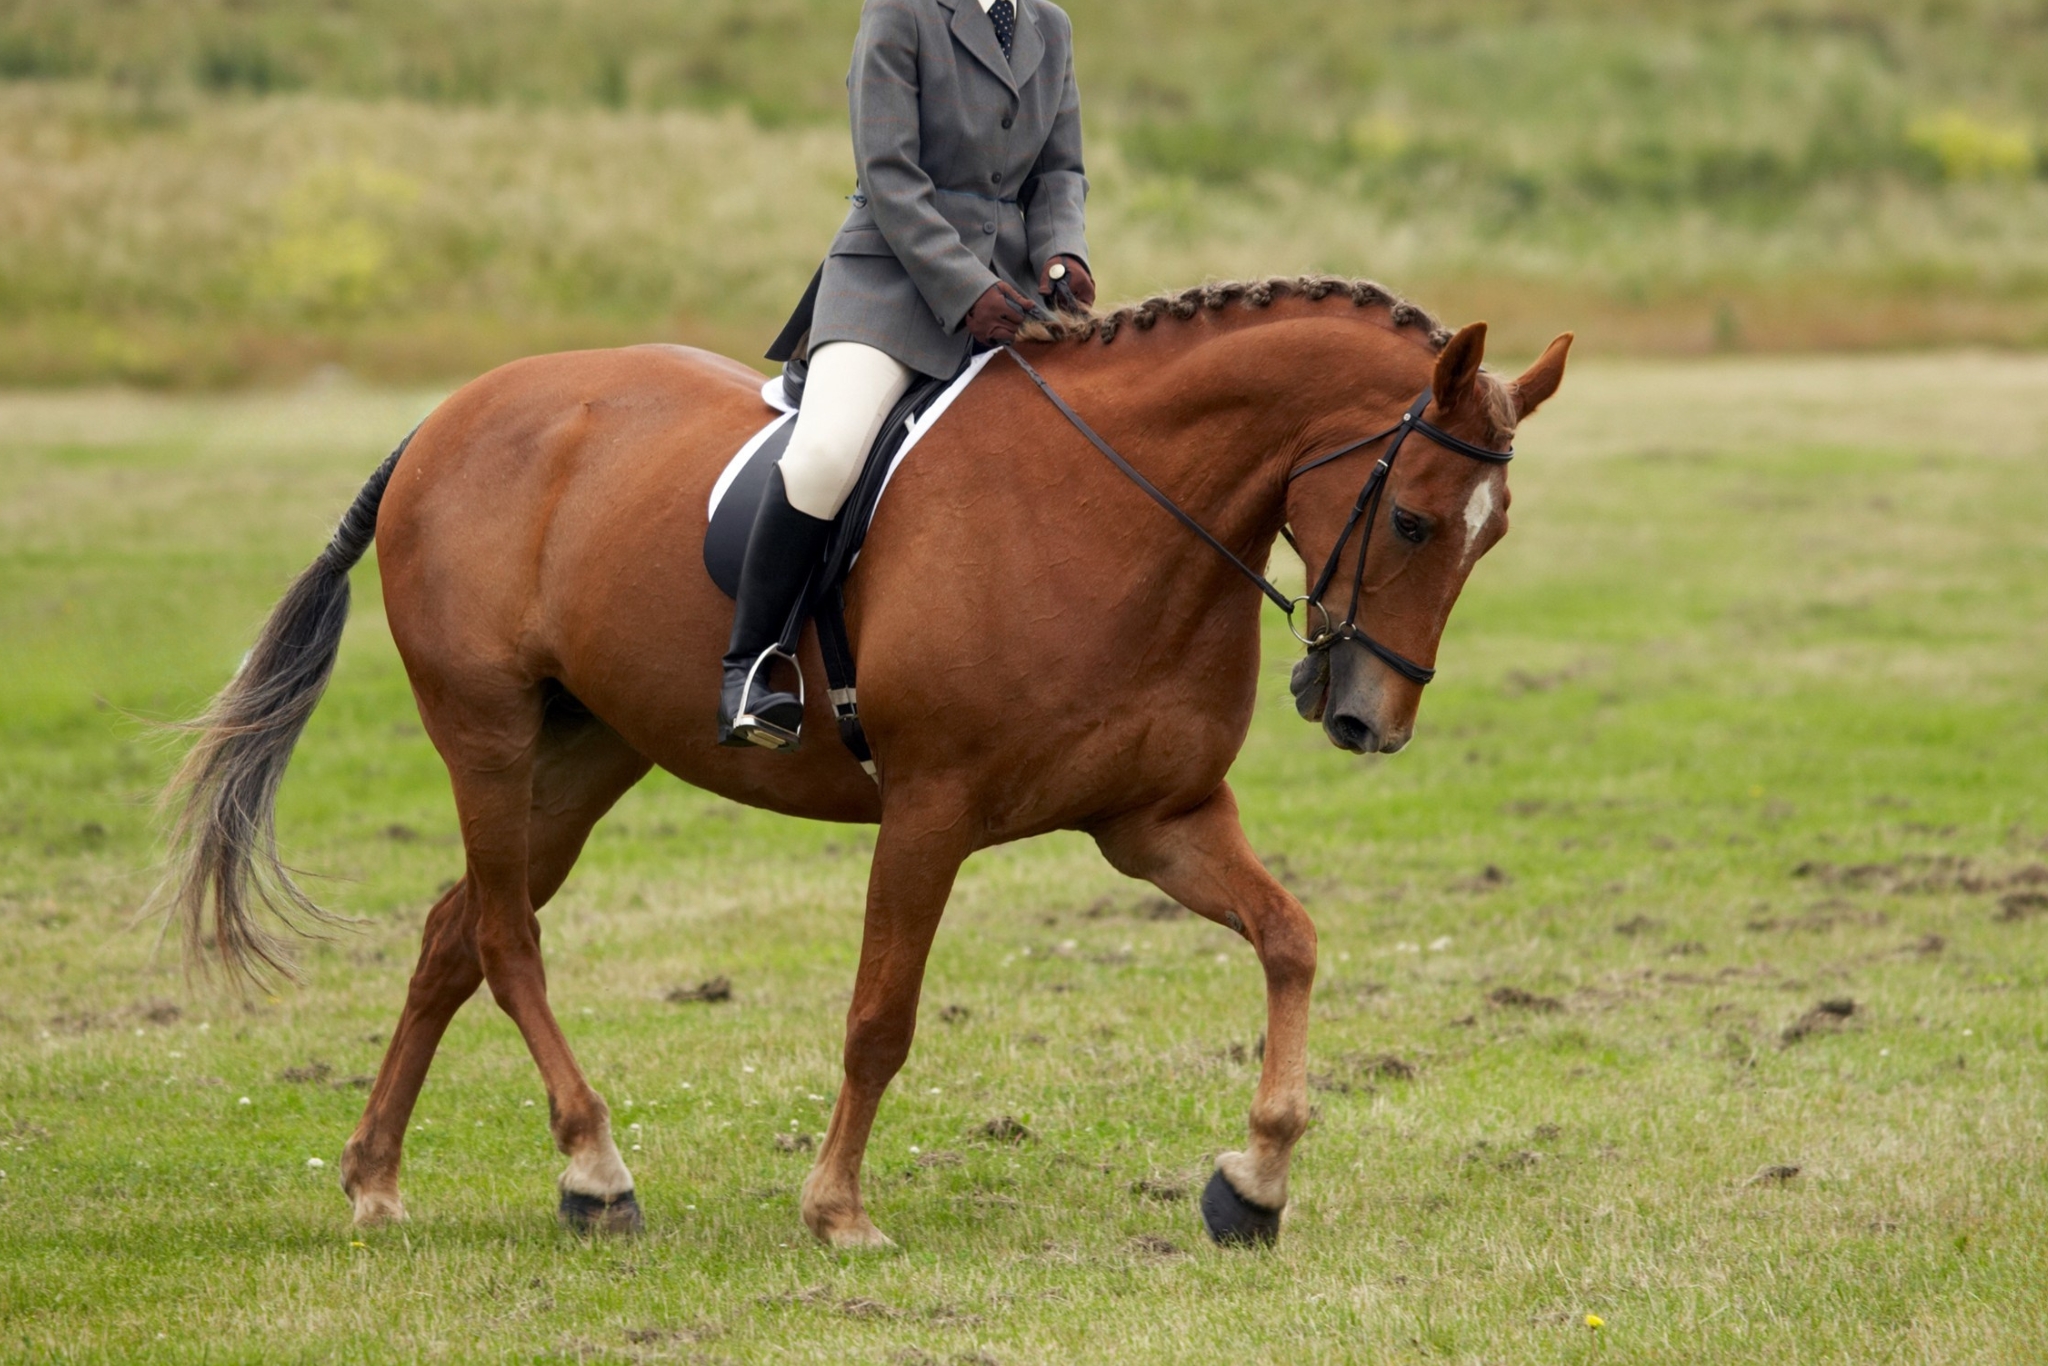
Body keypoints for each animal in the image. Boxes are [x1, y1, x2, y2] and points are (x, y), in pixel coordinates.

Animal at [159, 275, 1570, 1248]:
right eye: (1412, 520)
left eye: (1491, 537)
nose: (1368, 722)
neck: (1122, 517)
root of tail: (448, 418)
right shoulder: (931, 811)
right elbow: (880, 1017)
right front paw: (837, 1208)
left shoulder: (1155, 817)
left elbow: (1290, 941)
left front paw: (1253, 1182)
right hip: (489, 734)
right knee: (506, 940)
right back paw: (593, 1170)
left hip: (585, 755)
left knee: (455, 932)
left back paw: (375, 1179)